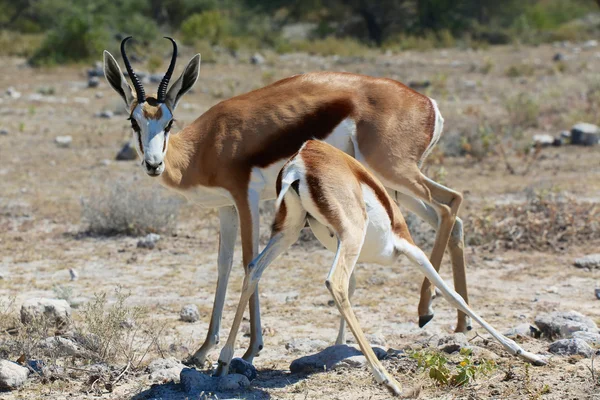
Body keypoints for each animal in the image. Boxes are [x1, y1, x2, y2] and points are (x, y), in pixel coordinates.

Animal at [102, 38, 468, 368]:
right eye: (134, 121)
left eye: (169, 122)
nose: (153, 164)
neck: (205, 146)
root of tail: (427, 103)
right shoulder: (225, 207)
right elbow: (223, 265)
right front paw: (202, 351)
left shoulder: (245, 198)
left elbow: (249, 262)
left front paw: (251, 349)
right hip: (391, 185)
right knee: (452, 215)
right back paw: (460, 323)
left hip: (393, 172)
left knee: (449, 204)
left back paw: (426, 309)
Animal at [218, 141, 548, 396]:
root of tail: (301, 161)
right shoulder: (411, 248)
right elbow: (453, 294)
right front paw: (528, 354)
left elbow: (353, 290)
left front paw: (337, 347)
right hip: (350, 234)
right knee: (334, 282)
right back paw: (390, 382)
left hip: (291, 232)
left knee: (254, 268)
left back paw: (223, 362)